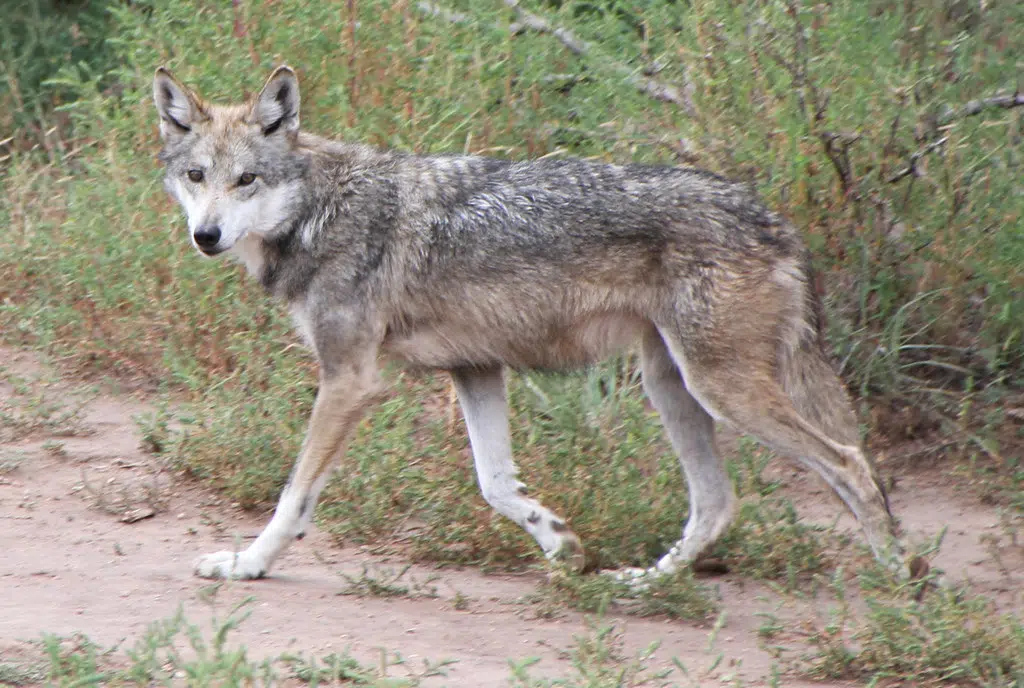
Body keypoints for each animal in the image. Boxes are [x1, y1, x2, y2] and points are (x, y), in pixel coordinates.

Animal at [153, 65, 923, 583]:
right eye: (196, 177)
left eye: (246, 180)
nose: (206, 236)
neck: (319, 212)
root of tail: (776, 223)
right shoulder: (474, 368)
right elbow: (497, 484)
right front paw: (562, 545)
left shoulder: (350, 382)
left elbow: (294, 497)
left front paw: (247, 564)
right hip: (672, 389)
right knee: (717, 503)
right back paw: (642, 584)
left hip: (720, 391)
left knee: (851, 466)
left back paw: (894, 586)